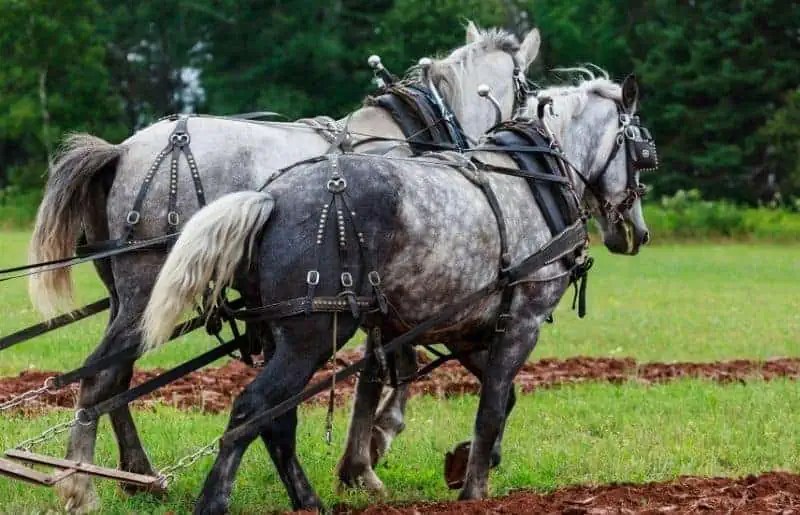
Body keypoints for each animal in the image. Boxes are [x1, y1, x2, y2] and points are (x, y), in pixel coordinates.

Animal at [24, 23, 541, 512]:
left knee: (116, 378)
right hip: (145, 290)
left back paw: (137, 476)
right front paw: (368, 457)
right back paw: (81, 487)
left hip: (126, 297)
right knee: (101, 377)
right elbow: (385, 371)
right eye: (527, 88)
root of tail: (122, 151)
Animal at [139, 72, 655, 513]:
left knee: (277, 418)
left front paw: (463, 461)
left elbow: (502, 398)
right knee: (252, 409)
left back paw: (309, 501)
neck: (533, 179)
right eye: (641, 154)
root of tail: (271, 197)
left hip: (285, 335)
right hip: (312, 334)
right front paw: (474, 490)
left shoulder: (468, 327)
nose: (637, 233)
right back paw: (215, 501)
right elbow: (491, 407)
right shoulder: (521, 323)